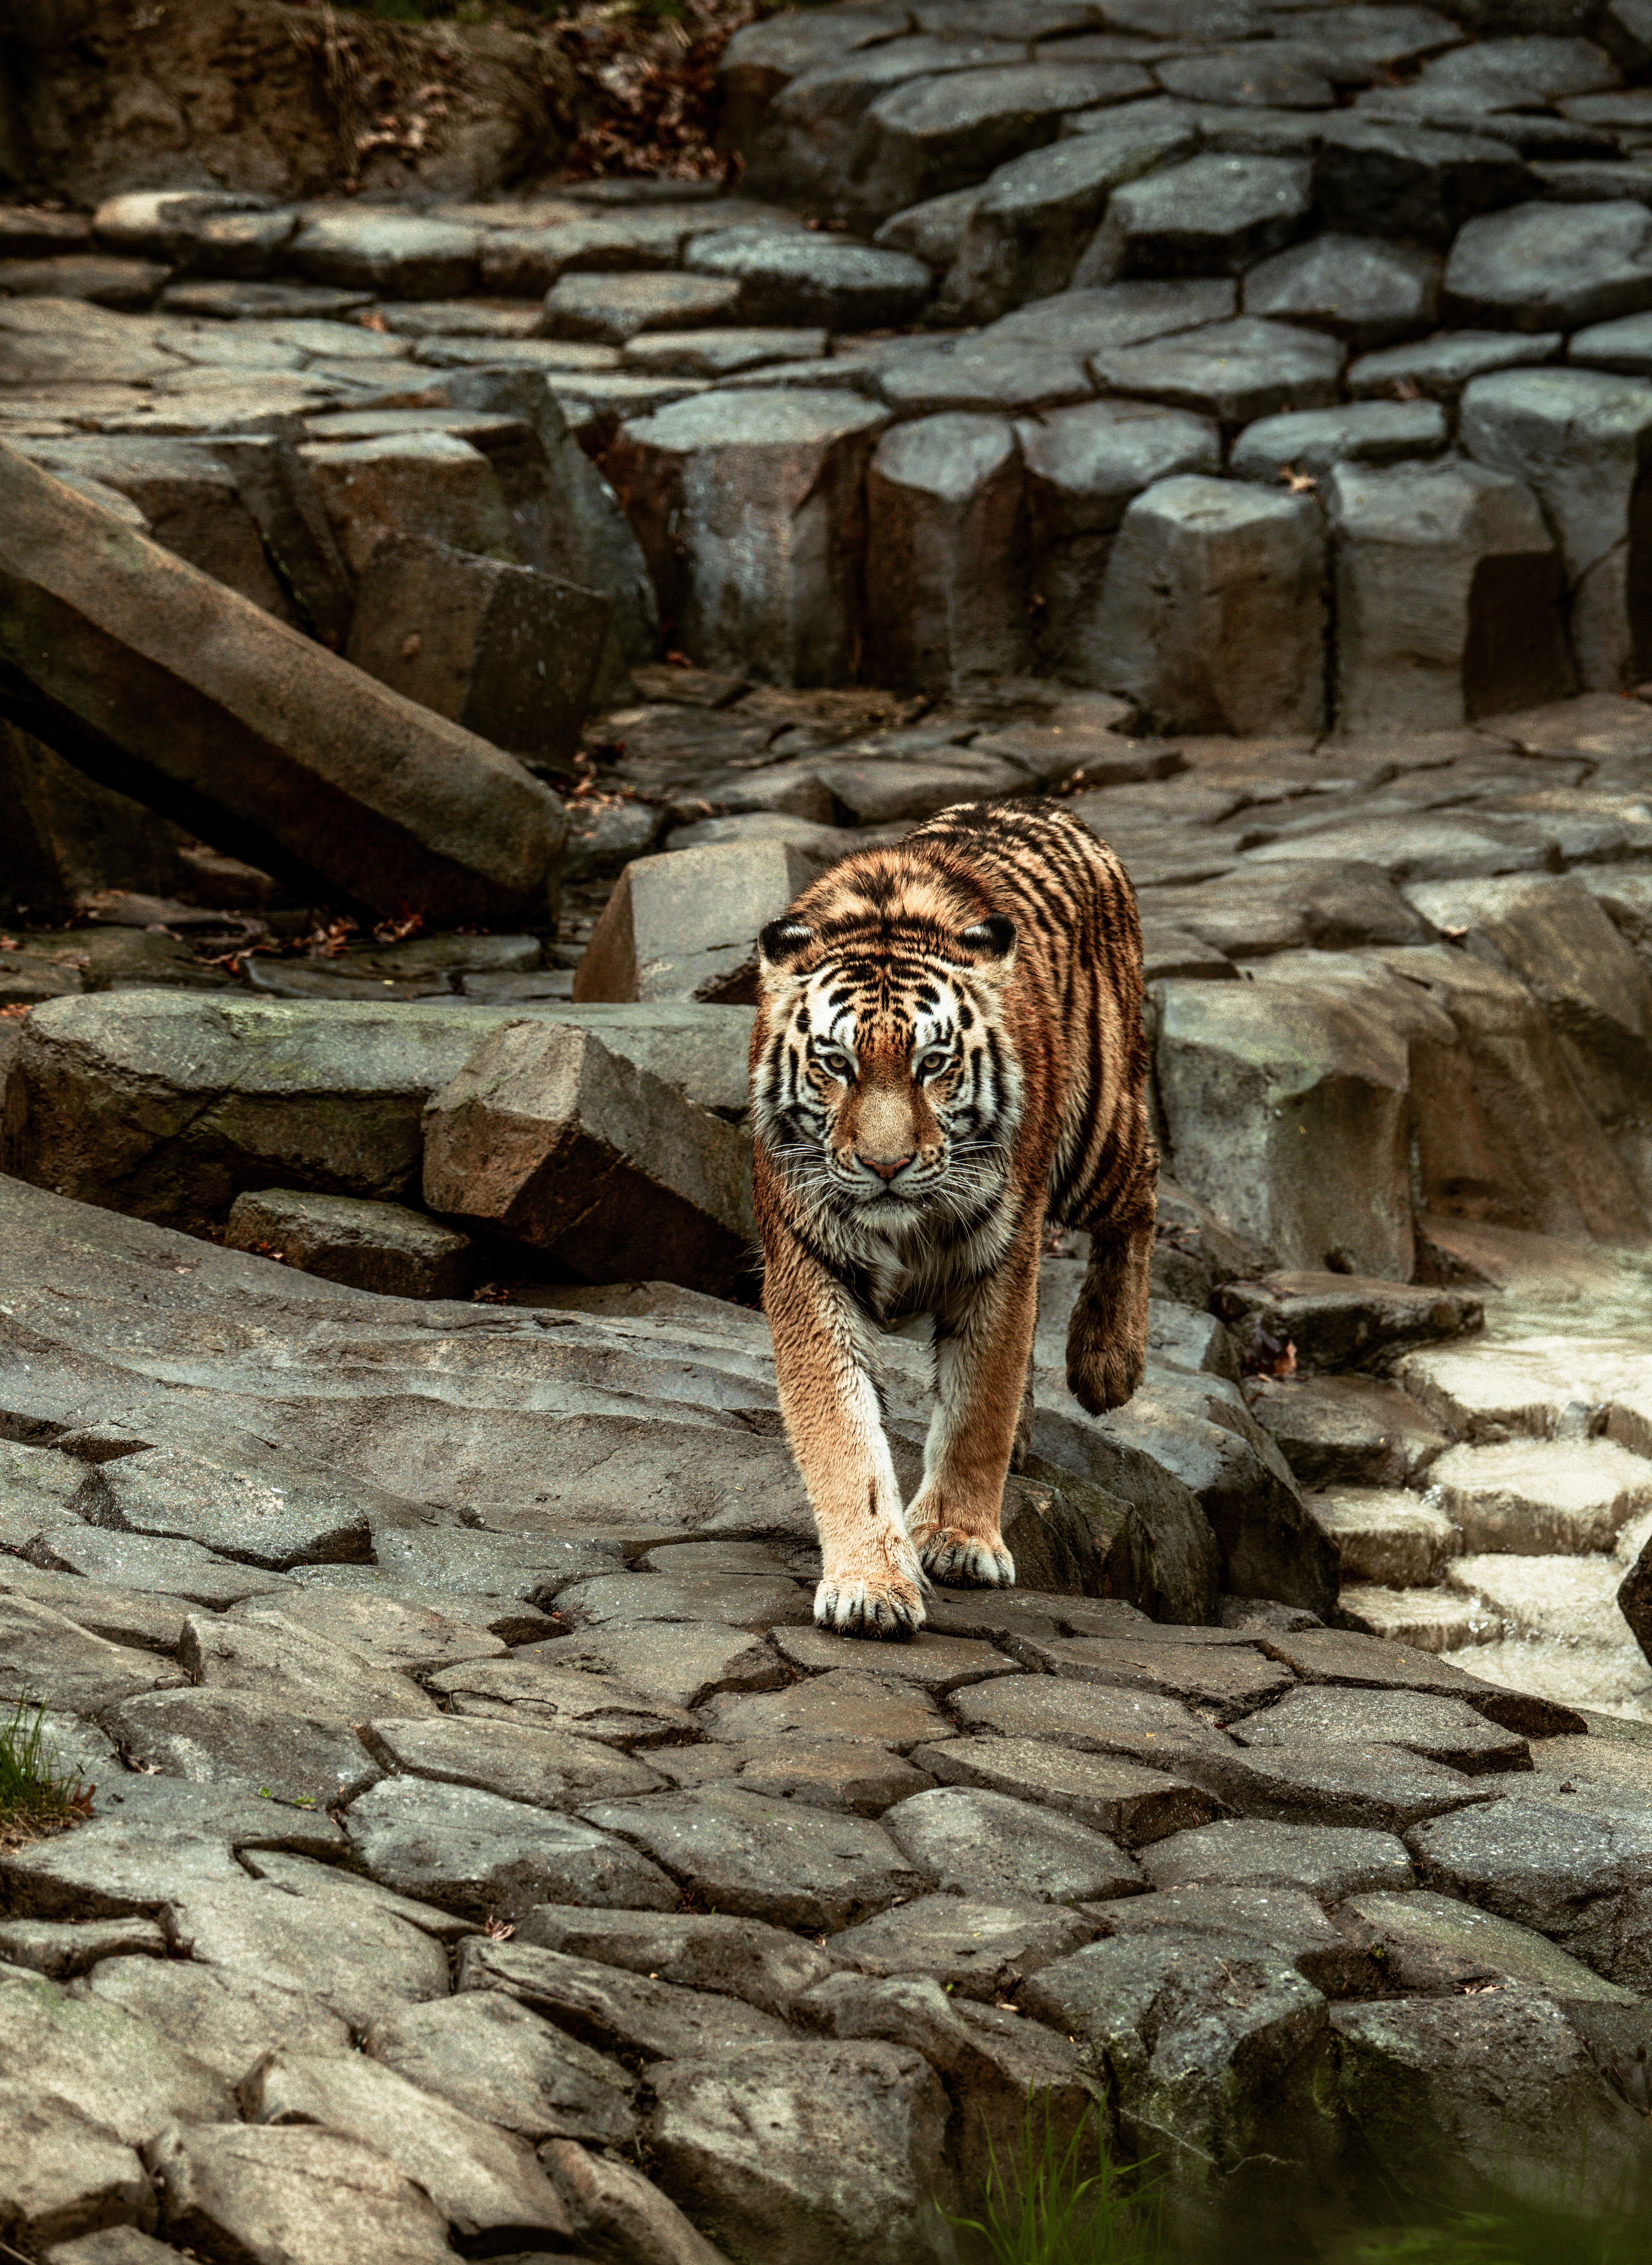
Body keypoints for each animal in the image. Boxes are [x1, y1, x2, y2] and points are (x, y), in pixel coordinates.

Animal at [749, 797, 1157, 1638]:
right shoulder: (808, 1261)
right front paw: (871, 1585)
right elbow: (842, 1430)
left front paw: (957, 1540)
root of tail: (1048, 805)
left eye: (932, 1065)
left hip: (1098, 1132)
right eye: (836, 1065)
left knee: (1145, 1190)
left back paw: (1108, 1359)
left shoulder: (999, 1254)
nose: (885, 1165)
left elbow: (978, 1405)